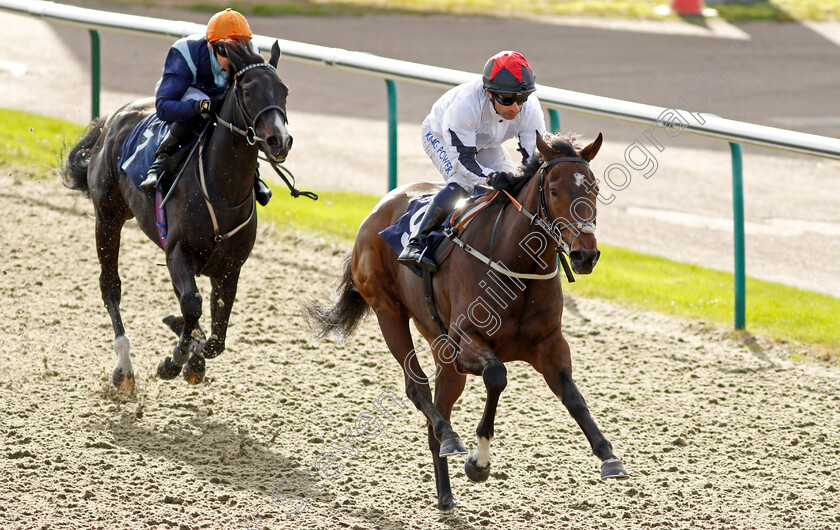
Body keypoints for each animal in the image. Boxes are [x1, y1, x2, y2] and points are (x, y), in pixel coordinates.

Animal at [62, 40, 292, 388]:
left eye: (284, 90)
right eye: (248, 90)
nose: (280, 140)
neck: (221, 189)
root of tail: (114, 118)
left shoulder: (229, 268)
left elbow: (216, 335)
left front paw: (192, 355)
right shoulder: (178, 252)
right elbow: (193, 306)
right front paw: (174, 360)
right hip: (108, 217)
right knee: (110, 286)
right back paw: (124, 367)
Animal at [306, 131, 628, 508]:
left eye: (593, 188)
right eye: (553, 190)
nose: (584, 255)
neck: (515, 264)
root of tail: (378, 208)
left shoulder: (549, 345)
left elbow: (574, 398)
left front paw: (609, 457)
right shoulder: (467, 342)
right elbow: (496, 376)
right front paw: (479, 461)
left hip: (440, 345)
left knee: (437, 411)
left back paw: (446, 493)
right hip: (389, 312)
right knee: (418, 389)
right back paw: (451, 438)